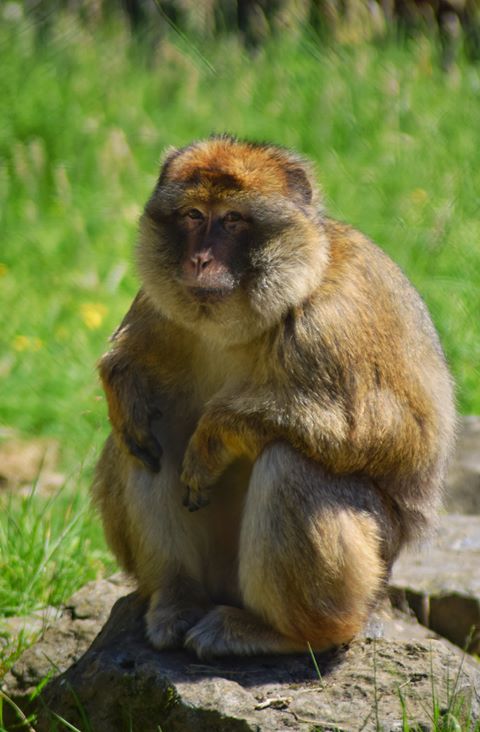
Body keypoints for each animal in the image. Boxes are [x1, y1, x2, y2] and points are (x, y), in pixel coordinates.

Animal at [92, 133, 456, 656]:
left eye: (232, 220)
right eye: (193, 215)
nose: (199, 260)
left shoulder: (334, 318)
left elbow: (385, 434)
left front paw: (217, 435)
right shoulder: (158, 299)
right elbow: (128, 368)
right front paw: (125, 390)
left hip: (371, 571)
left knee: (291, 463)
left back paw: (286, 632)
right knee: (143, 444)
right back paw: (177, 598)